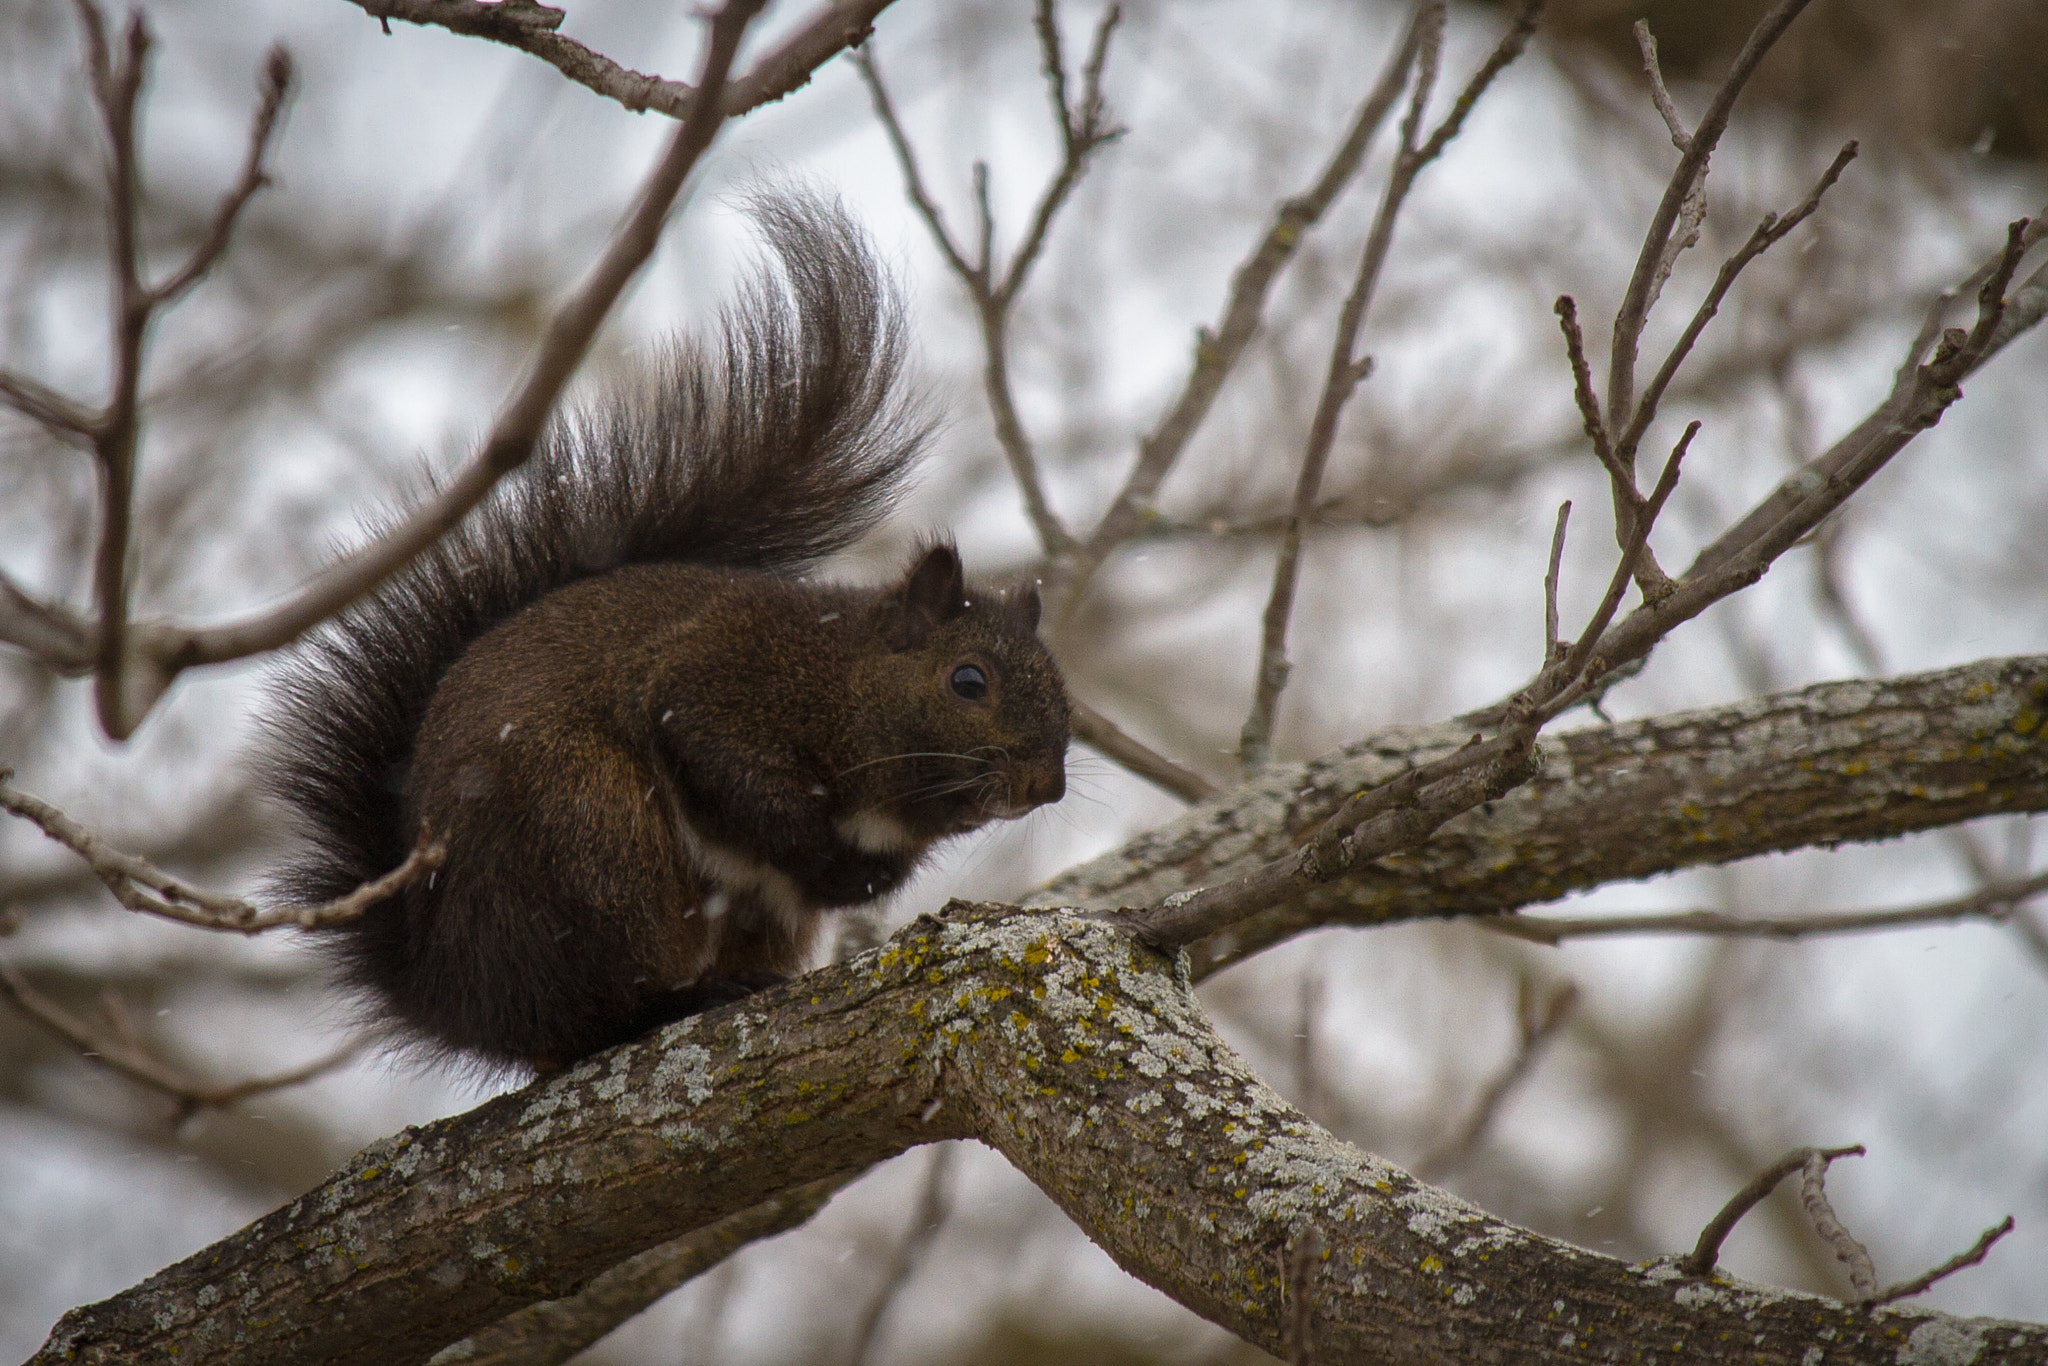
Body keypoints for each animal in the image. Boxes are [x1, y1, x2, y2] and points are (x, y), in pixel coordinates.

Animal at [262, 198, 1070, 1074]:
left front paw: (865, 878)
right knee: (596, 1009)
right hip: (592, 831)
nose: (1046, 787)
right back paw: (682, 998)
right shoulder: (725, 678)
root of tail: (450, 994)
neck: (845, 676)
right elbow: (727, 766)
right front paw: (829, 861)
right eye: (967, 680)